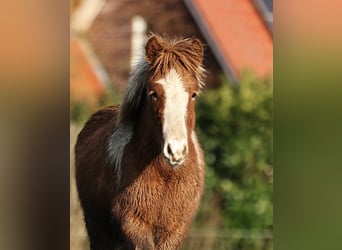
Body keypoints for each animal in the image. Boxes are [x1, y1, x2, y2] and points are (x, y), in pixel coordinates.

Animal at [75, 34, 206, 249]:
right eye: (153, 93)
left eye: (193, 94)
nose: (175, 151)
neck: (166, 176)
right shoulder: (134, 224)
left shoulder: (174, 230)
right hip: (97, 230)